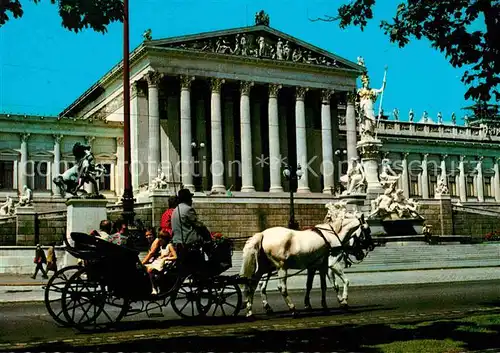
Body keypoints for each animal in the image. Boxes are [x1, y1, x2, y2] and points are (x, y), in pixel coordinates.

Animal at [240, 213, 374, 318]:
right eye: (368, 230)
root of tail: (262, 233)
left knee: (253, 285)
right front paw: (343, 300)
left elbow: (316, 286)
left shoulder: (316, 267)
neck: (332, 235)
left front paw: (316, 304)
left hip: (264, 268)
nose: (371, 246)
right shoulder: (331, 265)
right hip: (281, 267)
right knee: (281, 287)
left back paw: (250, 310)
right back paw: (292, 309)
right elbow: (341, 282)